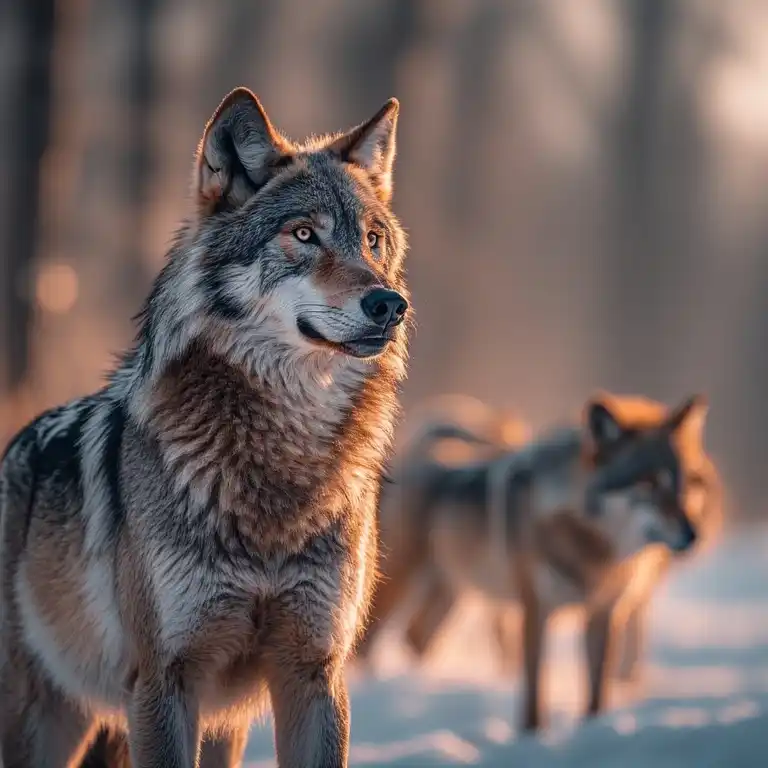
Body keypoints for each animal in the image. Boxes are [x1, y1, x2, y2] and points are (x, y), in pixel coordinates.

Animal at [0, 86, 410, 768]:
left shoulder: (313, 674)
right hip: (46, 722)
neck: (283, 459)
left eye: (374, 240)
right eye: (304, 234)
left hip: (217, 724)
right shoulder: (165, 679)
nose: (390, 305)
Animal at [357, 392, 721, 731]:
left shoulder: (602, 614)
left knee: (415, 636)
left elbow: (597, 690)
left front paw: (592, 729)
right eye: (648, 481)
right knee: (368, 644)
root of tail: (419, 457)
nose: (693, 534)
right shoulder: (535, 611)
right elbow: (534, 693)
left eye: (689, 482)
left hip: (453, 594)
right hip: (398, 591)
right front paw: (531, 735)